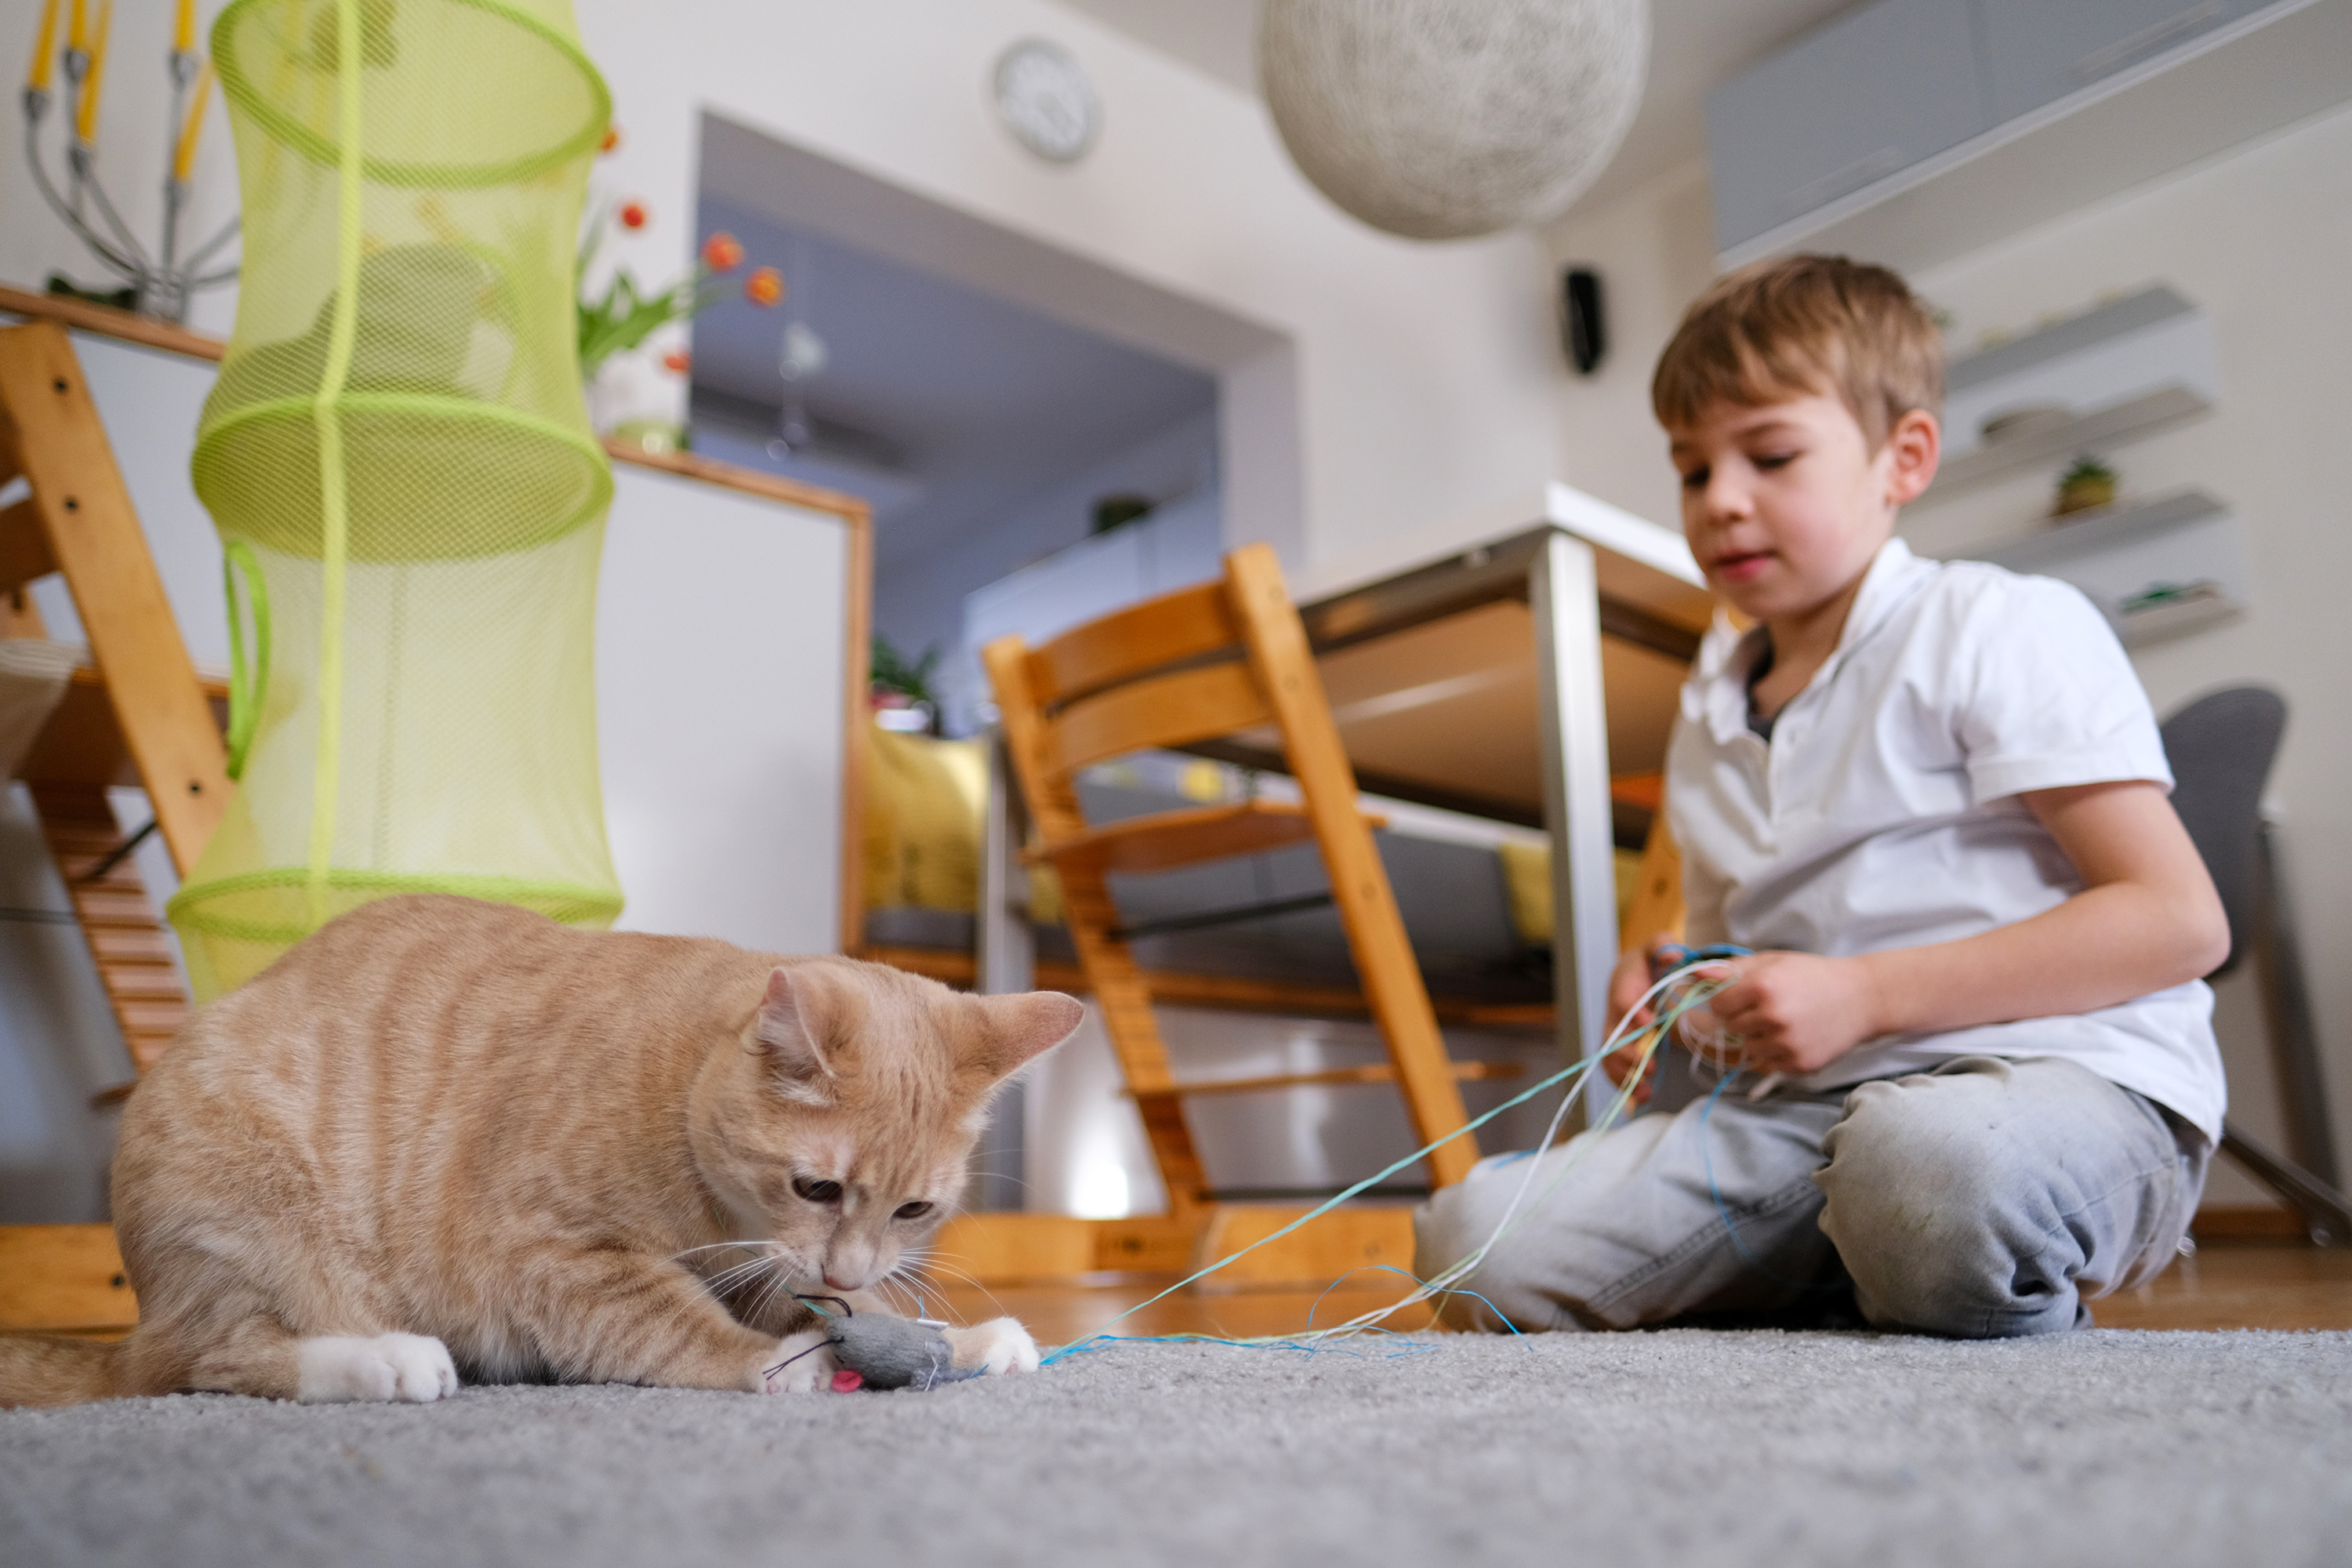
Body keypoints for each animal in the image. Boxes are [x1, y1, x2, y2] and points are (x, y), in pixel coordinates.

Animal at [0, 893, 1082, 1410]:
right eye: (816, 1186)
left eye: (915, 1208)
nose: (851, 1264)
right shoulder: (550, 1256)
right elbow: (678, 1324)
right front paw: (786, 1360)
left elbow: (846, 1308)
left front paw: (953, 1339)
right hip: (248, 1227)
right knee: (212, 1360)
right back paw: (384, 1359)